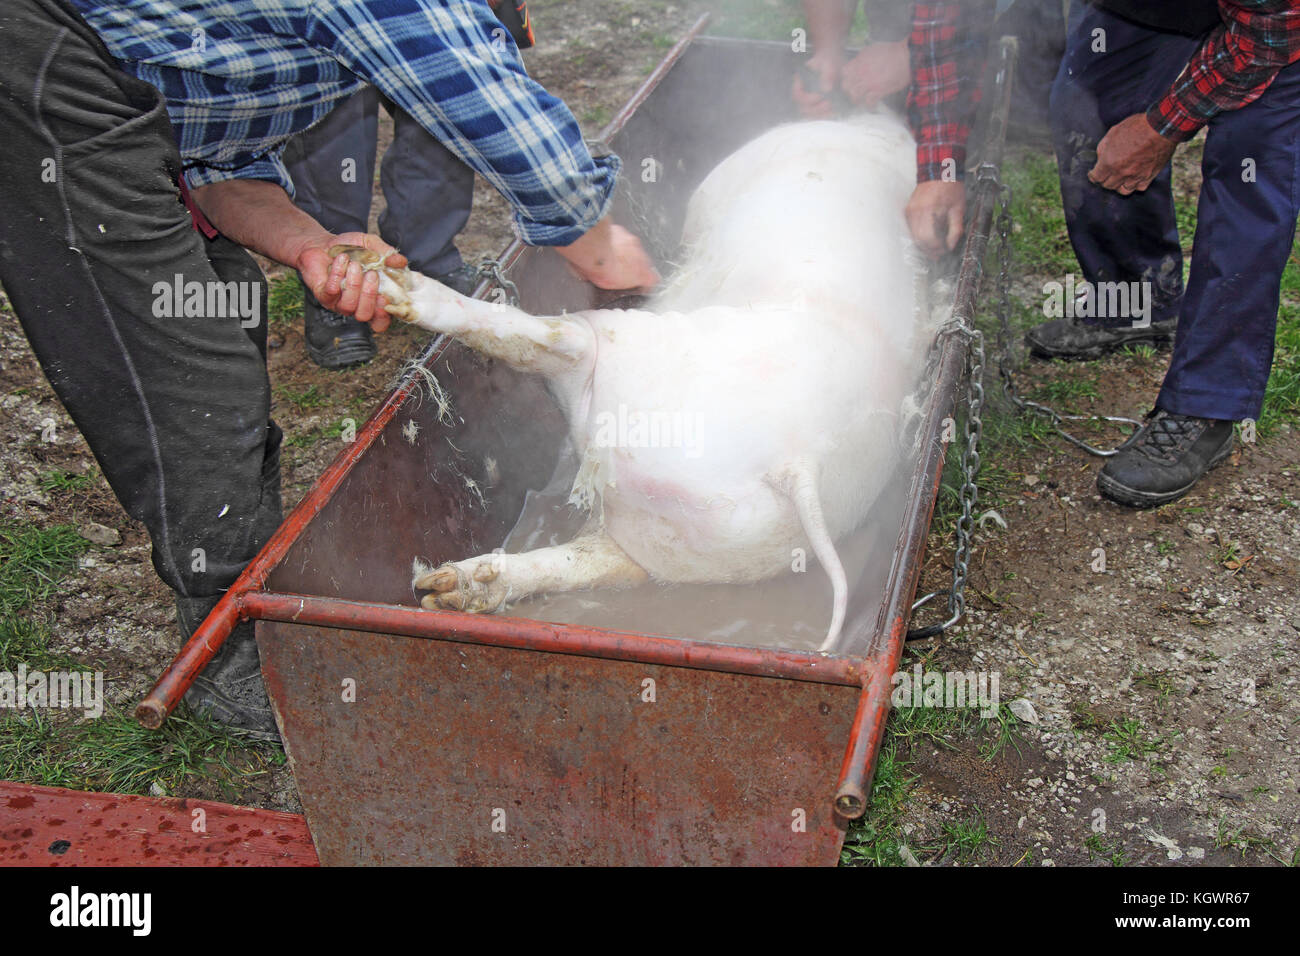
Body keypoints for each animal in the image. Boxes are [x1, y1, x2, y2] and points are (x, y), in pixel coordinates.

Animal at [332, 110, 925, 650]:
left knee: (547, 337)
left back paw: (378, 274)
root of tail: (798, 462)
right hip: (696, 540)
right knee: (599, 559)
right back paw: (454, 590)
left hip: (626, 358)